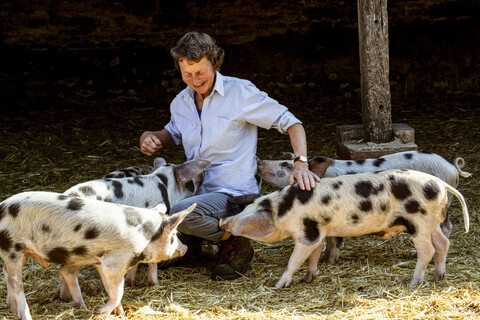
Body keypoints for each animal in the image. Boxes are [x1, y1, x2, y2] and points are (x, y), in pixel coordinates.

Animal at [0, 191, 195, 320]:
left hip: (23, 251)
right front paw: (98, 314)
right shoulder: (113, 264)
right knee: (17, 284)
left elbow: (113, 291)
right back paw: (25, 315)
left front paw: (120, 313)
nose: (185, 247)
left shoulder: (102, 262)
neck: (144, 236)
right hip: (13, 247)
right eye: (175, 234)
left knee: (7, 273)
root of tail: (1, 207)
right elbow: (118, 292)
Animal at [221, 170, 468, 290]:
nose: (224, 220)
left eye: (251, 212)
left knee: (427, 251)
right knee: (443, 243)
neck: (285, 208)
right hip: (432, 223)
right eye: (246, 208)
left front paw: (279, 285)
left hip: (419, 222)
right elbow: (313, 256)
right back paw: (438, 278)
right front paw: (308, 279)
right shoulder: (318, 231)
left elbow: (294, 260)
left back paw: (414, 283)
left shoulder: (306, 232)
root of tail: (441, 184)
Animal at [256, 150, 470, 264]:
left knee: (446, 227)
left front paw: (330, 261)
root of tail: (452, 167)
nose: (259, 161)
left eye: (285, 165)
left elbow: (334, 240)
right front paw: (326, 259)